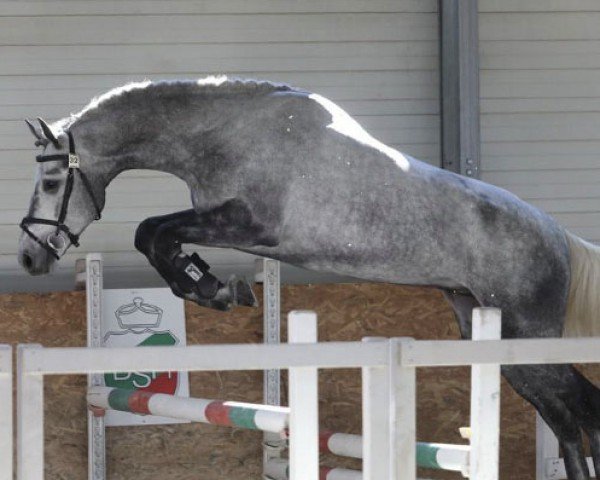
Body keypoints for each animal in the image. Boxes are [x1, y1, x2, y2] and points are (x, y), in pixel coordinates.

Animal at [15, 79, 600, 480]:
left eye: (51, 181)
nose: (28, 258)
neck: (224, 134)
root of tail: (558, 237)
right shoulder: (237, 227)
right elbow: (155, 235)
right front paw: (209, 284)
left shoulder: (252, 226)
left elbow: (152, 230)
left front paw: (213, 288)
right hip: (491, 334)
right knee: (571, 420)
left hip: (525, 339)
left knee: (578, 415)